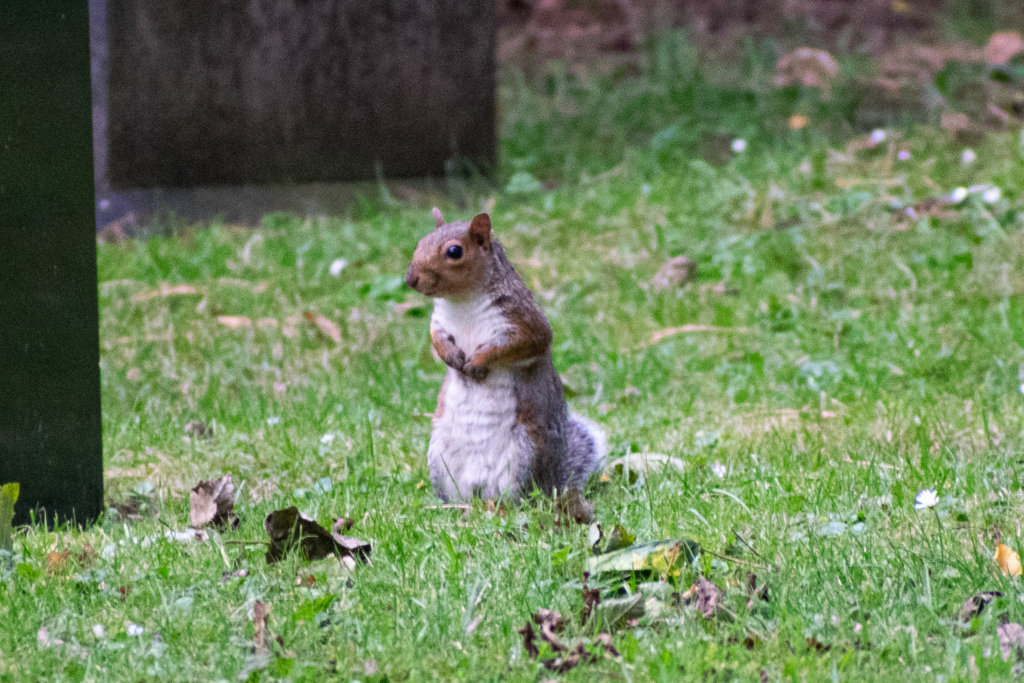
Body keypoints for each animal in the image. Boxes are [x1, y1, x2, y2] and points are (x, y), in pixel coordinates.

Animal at [405, 208, 606, 502]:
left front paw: (477, 362)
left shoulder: (524, 323)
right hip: (440, 455)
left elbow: (514, 346)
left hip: (524, 454)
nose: (410, 279)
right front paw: (451, 357)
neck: (462, 302)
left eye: (454, 251)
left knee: (518, 497)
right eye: (420, 242)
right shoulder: (439, 323)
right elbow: (437, 338)